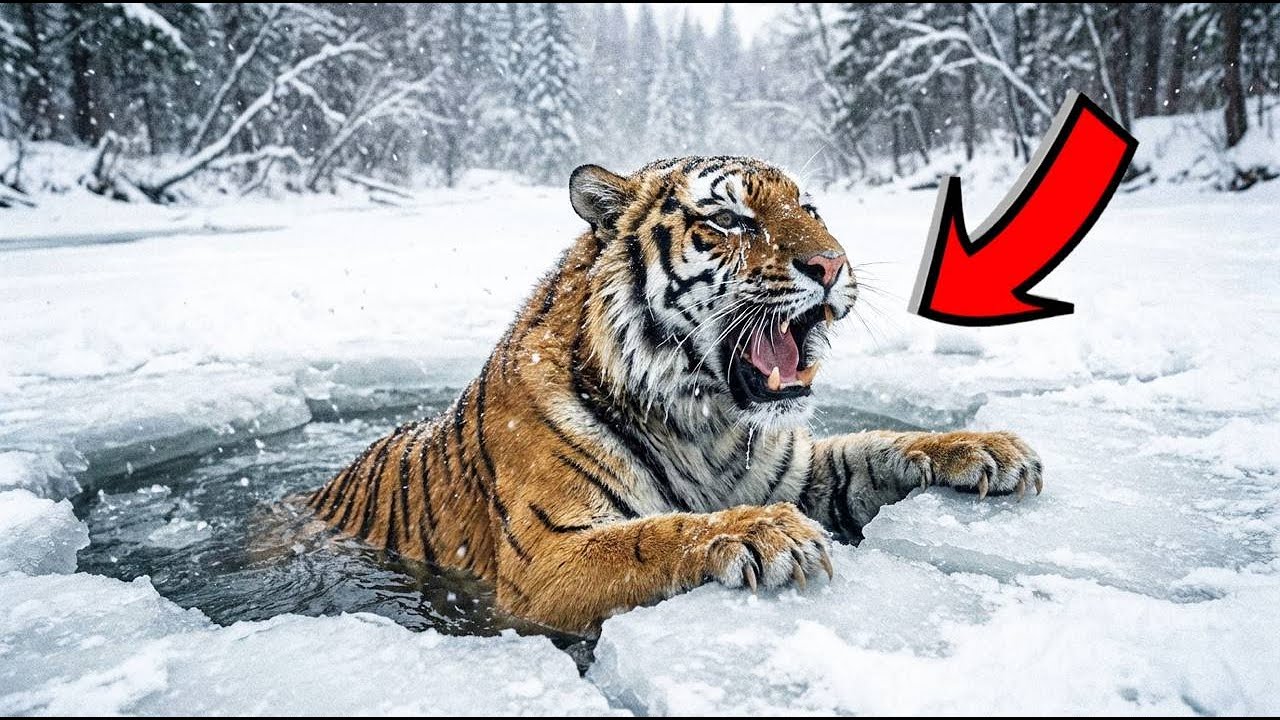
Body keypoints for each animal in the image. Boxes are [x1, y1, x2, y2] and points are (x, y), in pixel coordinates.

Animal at [306, 156, 1043, 635]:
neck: (707, 424)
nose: (833, 265)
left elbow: (879, 447)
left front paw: (988, 447)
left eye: (809, 208)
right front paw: (761, 532)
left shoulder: (803, 475)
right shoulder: (547, 560)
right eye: (733, 219)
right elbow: (652, 536)